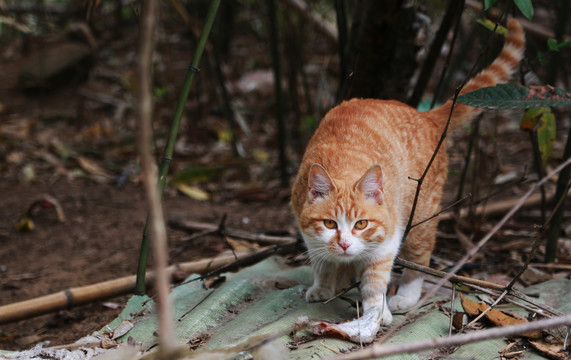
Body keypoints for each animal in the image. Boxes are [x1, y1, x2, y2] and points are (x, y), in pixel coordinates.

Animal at [292, 19, 524, 344]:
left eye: (361, 224)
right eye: (329, 224)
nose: (346, 244)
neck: (345, 166)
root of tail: (425, 117)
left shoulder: (387, 241)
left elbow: (375, 282)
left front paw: (377, 312)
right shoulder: (308, 232)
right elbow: (321, 261)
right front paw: (324, 285)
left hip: (420, 220)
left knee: (420, 258)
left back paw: (406, 295)